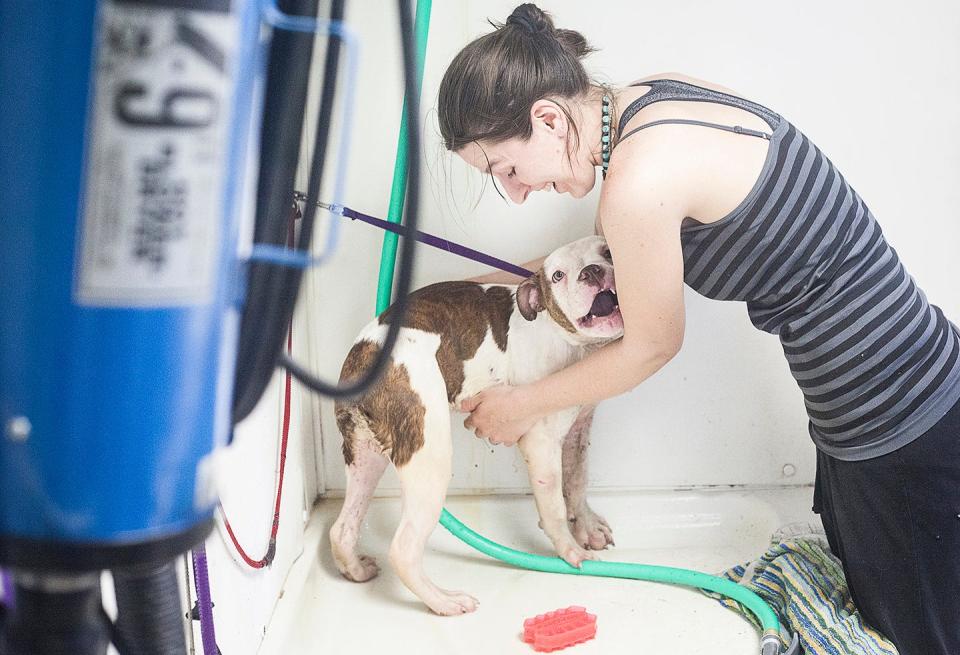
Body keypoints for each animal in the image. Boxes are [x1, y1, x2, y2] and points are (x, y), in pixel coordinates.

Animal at [334, 238, 628, 616]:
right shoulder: (541, 442)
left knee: (343, 527)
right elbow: (554, 507)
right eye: (558, 275)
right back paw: (443, 601)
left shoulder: (579, 428)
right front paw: (570, 551)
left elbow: (577, 481)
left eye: (607, 252)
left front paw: (588, 527)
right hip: (429, 457)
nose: (591, 272)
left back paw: (355, 568)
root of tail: (367, 351)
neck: (563, 337)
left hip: (366, 454)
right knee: (404, 548)